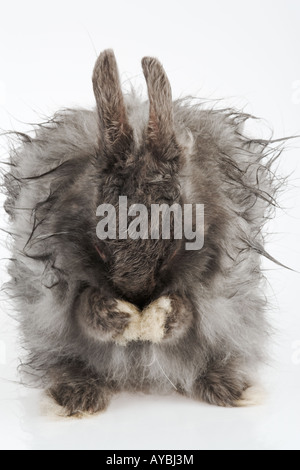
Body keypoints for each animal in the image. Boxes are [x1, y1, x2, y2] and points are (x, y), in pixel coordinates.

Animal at [2, 49, 284, 414]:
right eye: (99, 247)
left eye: (174, 248)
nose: (135, 295)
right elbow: (82, 309)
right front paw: (115, 317)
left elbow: (190, 313)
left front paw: (163, 317)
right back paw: (76, 397)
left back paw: (231, 388)